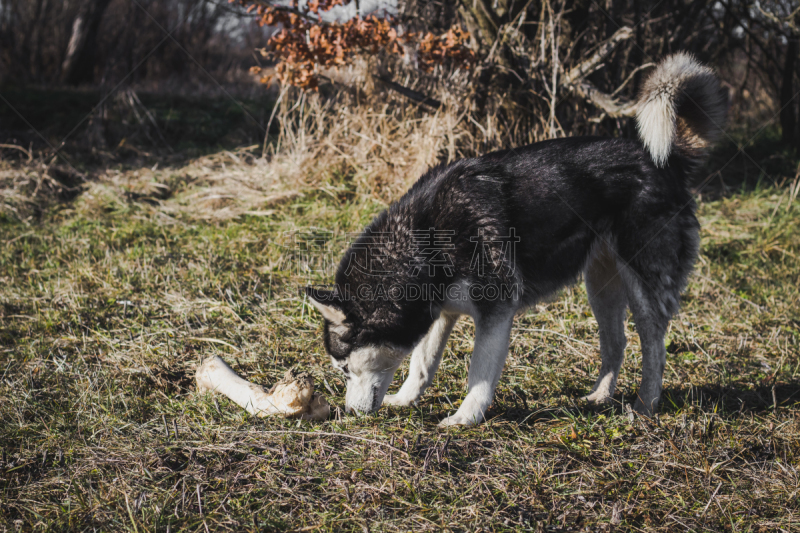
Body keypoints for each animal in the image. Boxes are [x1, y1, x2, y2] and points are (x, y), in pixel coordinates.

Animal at [304, 53, 724, 424]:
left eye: (344, 368)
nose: (352, 413)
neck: (426, 239)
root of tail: (665, 160)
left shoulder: (496, 311)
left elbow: (479, 375)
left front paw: (464, 418)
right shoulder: (441, 312)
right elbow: (422, 364)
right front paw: (406, 399)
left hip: (643, 285)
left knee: (654, 347)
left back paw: (645, 406)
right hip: (600, 287)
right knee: (615, 344)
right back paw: (599, 396)